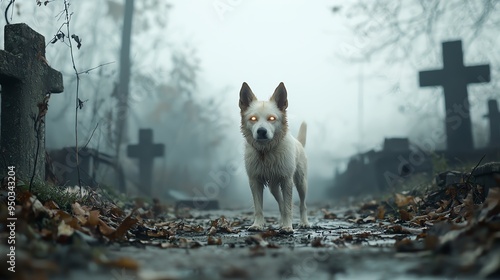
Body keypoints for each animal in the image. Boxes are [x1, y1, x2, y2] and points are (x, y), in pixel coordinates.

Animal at [238, 82, 308, 233]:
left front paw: (288, 227)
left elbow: (288, 207)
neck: (266, 152)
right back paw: (281, 222)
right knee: (281, 203)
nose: (261, 131)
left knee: (302, 204)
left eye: (271, 118)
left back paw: (304, 223)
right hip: (273, 187)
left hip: (301, 182)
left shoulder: (287, 181)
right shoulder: (255, 181)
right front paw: (258, 225)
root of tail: (298, 142)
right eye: (253, 119)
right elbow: (259, 208)